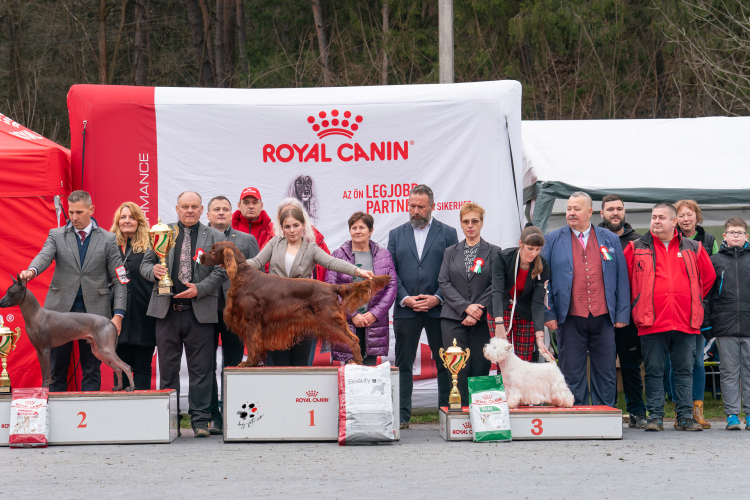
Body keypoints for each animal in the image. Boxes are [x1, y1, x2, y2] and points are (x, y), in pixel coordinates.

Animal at [0, 278, 134, 390]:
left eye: (10, 292)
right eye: (7, 291)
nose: (0, 302)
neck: (35, 315)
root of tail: (110, 322)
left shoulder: (46, 349)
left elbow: (47, 373)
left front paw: (45, 388)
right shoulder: (38, 351)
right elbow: (43, 372)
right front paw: (42, 388)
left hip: (106, 350)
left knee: (126, 367)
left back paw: (131, 388)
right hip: (98, 352)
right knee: (118, 369)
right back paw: (118, 388)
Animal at [201, 240, 394, 366]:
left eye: (213, 250)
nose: (201, 257)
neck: (242, 275)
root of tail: (332, 287)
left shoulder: (250, 321)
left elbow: (253, 343)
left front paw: (248, 363)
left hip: (330, 320)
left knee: (353, 339)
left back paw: (358, 361)